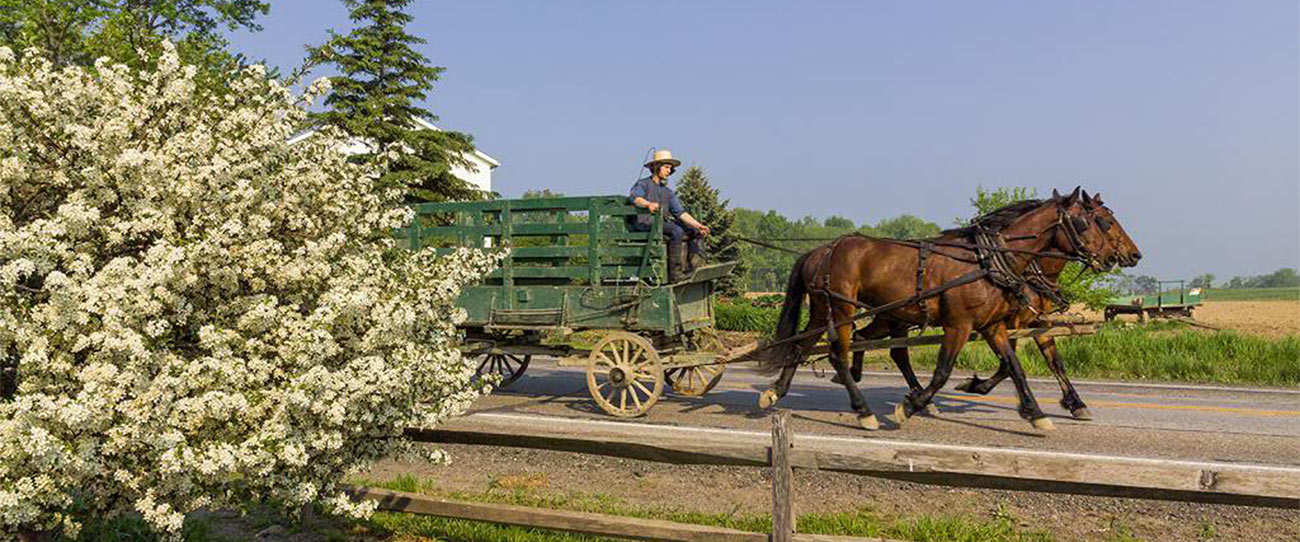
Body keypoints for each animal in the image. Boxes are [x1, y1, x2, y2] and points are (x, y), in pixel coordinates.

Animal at [759, 188, 1133, 428]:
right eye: (1096, 222)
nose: (1130, 255)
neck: (993, 261)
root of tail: (820, 250)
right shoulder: (961, 324)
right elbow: (944, 372)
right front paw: (911, 407)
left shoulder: (997, 324)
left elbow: (1020, 366)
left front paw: (1039, 412)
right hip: (842, 310)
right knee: (840, 351)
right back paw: (863, 408)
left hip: (837, 311)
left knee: (806, 345)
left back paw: (777, 391)